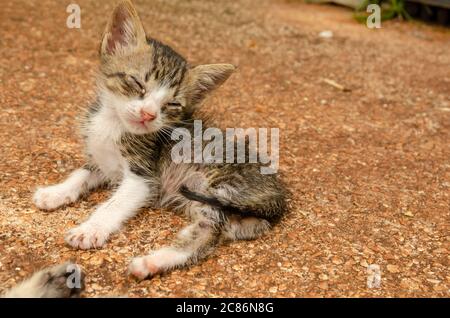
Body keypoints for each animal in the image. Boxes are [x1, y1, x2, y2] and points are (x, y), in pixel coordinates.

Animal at [31, 0, 286, 280]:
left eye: (172, 104)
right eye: (136, 82)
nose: (148, 114)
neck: (113, 123)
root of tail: (279, 198)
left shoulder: (143, 177)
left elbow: (114, 204)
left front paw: (90, 229)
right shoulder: (102, 162)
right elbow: (80, 174)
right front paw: (55, 193)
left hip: (216, 186)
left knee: (208, 232)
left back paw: (148, 262)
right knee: (207, 233)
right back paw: (153, 262)